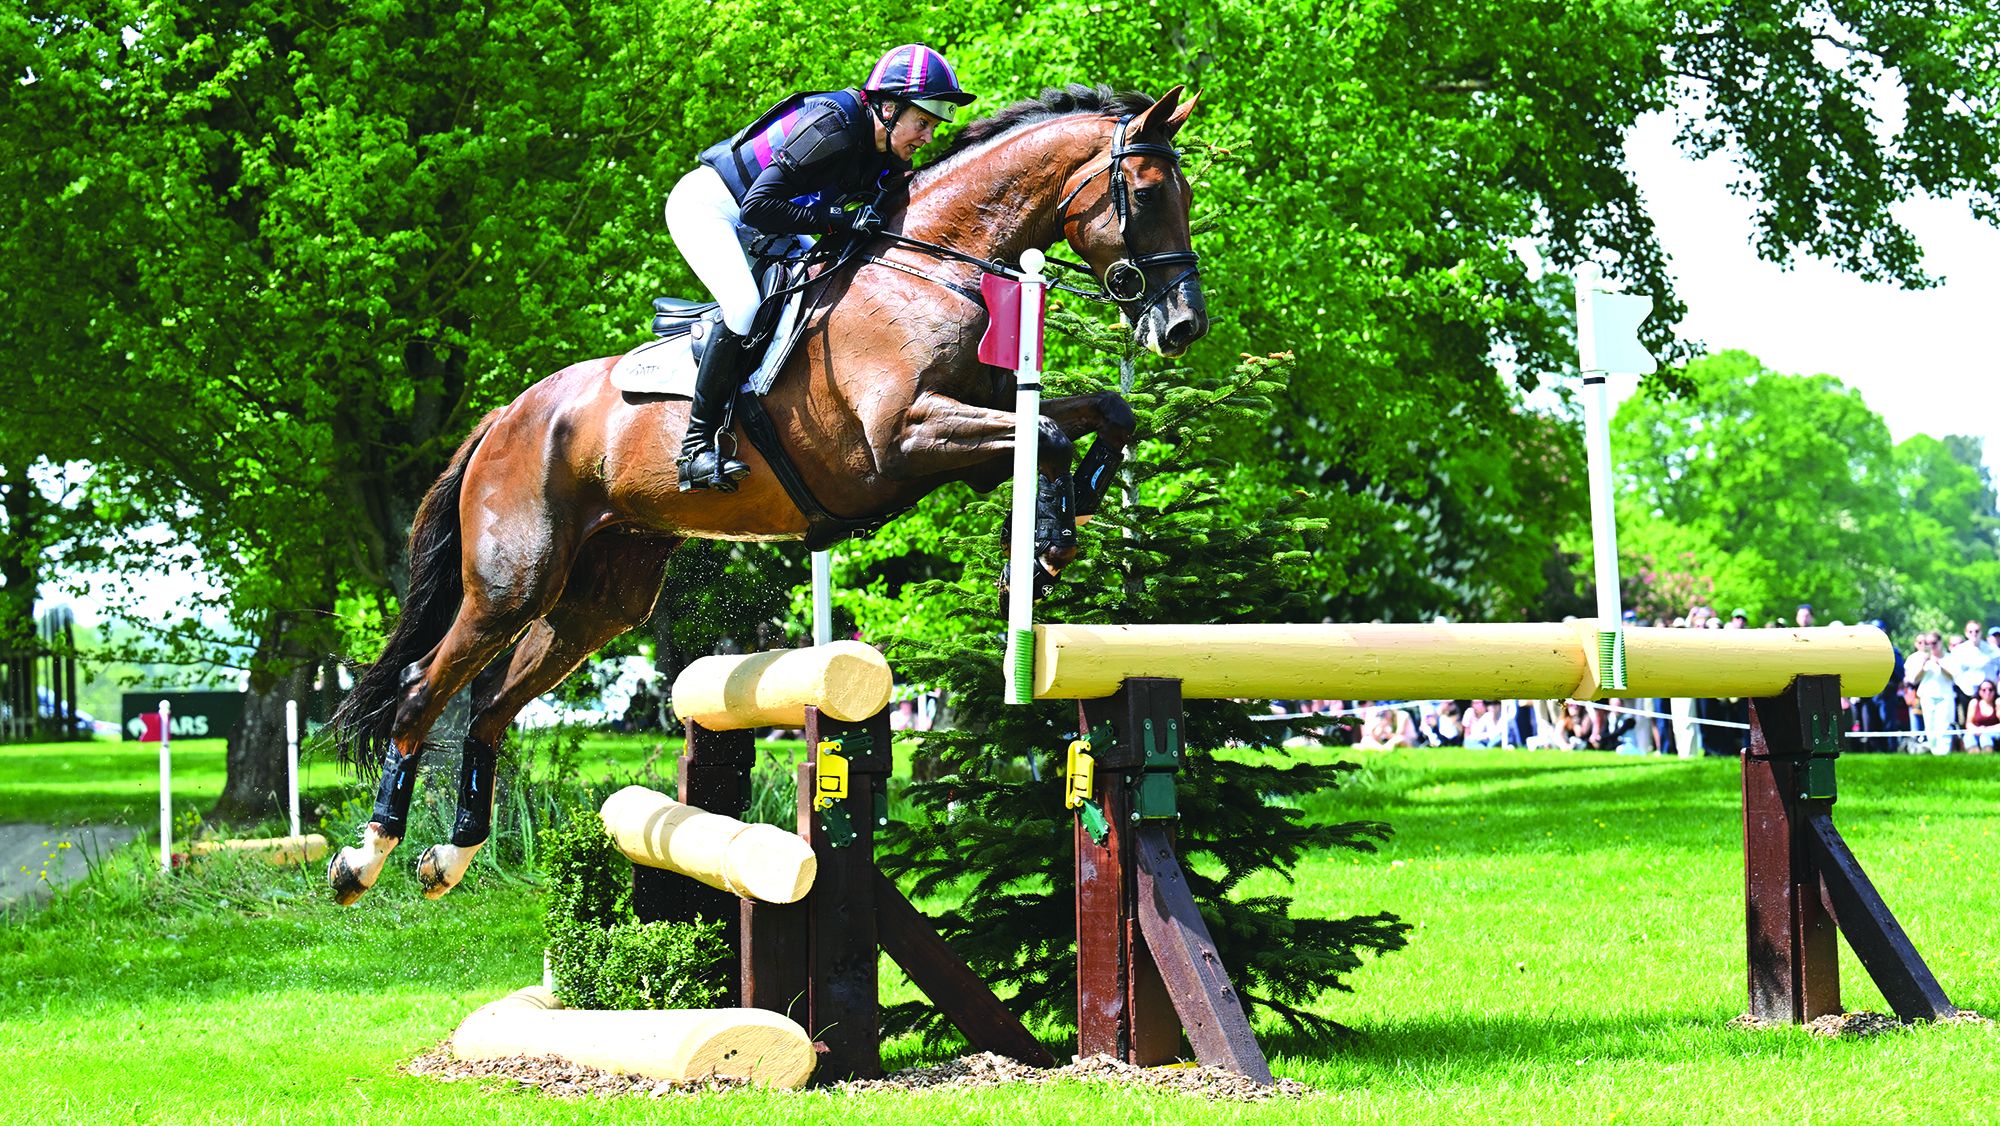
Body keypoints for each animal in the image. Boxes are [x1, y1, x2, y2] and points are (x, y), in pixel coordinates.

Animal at [324, 83, 1209, 905]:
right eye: (1150, 194)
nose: (1183, 328)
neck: (935, 266)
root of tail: (507, 415)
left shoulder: (974, 434)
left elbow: (1098, 413)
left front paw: (1065, 521)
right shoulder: (902, 441)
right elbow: (1050, 433)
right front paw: (1046, 544)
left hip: (602, 596)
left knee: (490, 708)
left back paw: (449, 856)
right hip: (514, 580)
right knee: (421, 692)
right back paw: (364, 858)